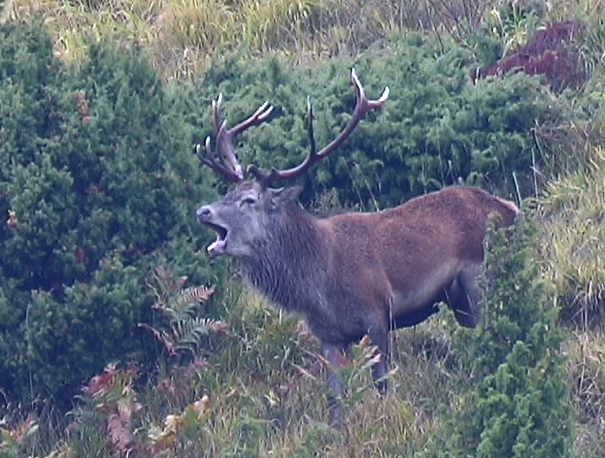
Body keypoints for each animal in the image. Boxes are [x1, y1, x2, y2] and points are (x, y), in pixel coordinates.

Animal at [195, 70, 520, 428]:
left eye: (250, 200)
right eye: (228, 193)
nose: (203, 211)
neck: (319, 286)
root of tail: (509, 209)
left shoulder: (376, 313)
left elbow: (382, 383)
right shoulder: (328, 335)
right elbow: (335, 398)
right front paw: (338, 431)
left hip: (477, 276)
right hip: (458, 298)